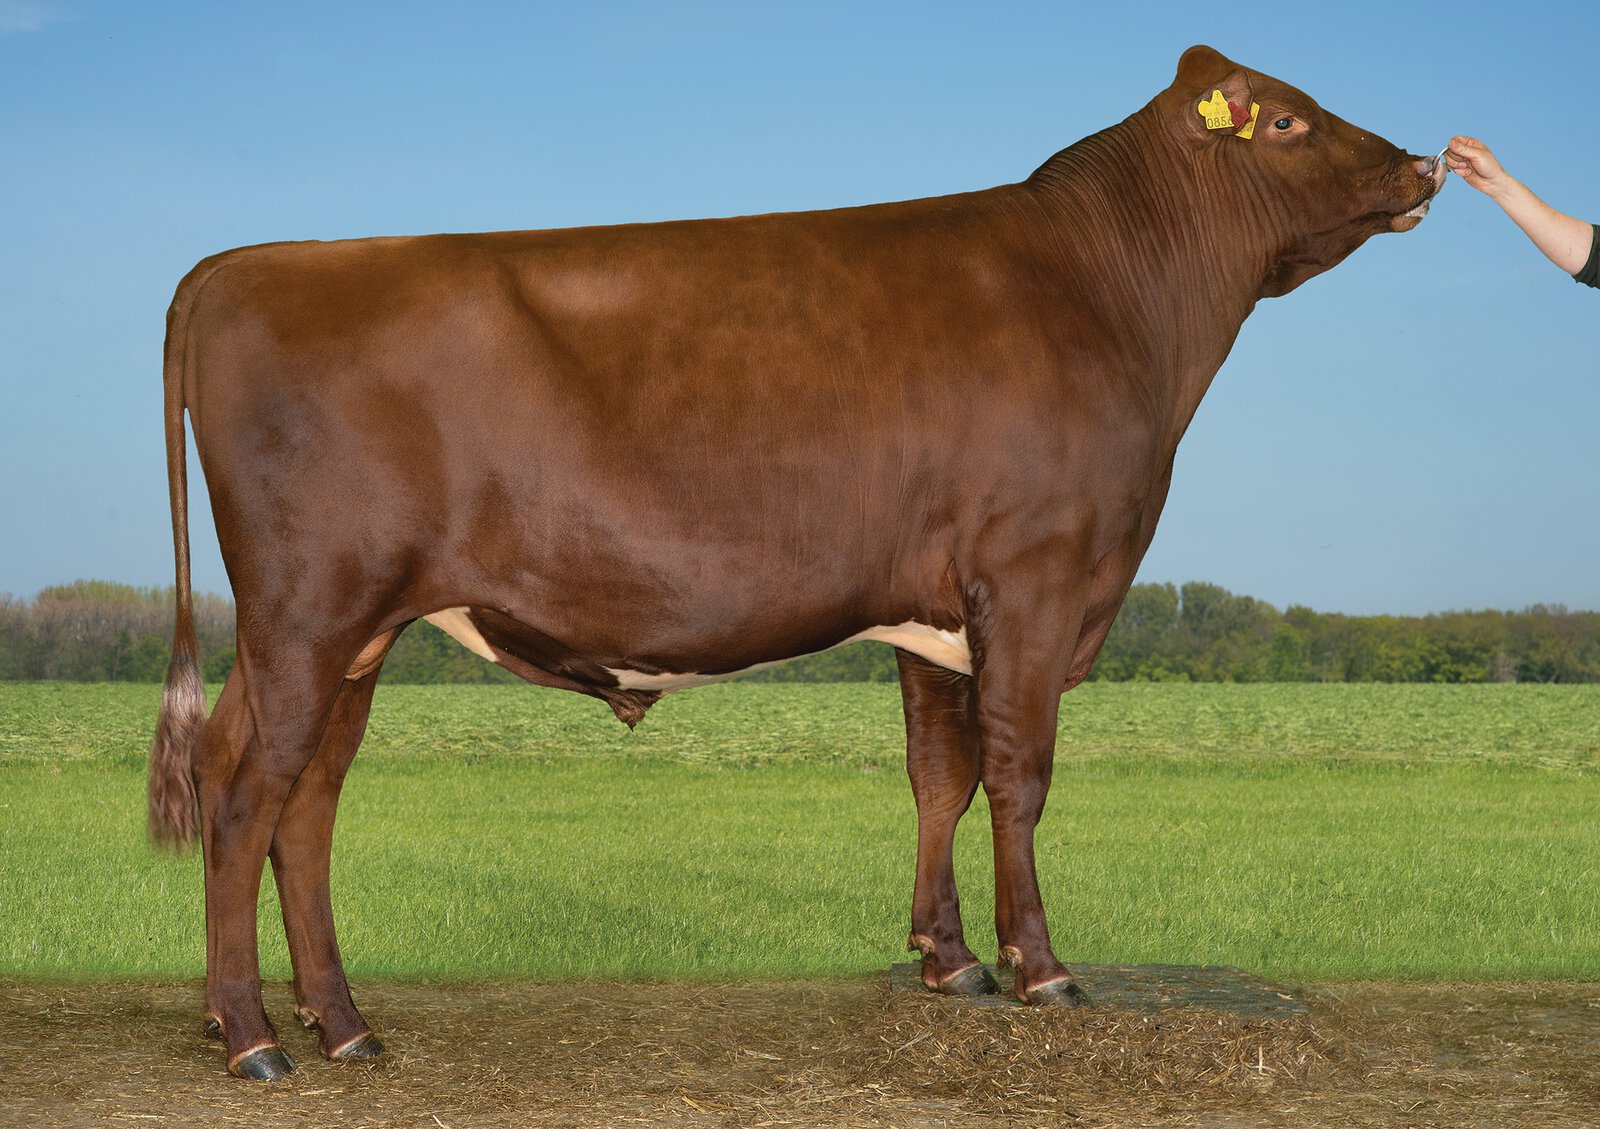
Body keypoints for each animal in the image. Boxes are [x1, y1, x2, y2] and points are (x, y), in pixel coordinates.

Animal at [148, 45, 1445, 1079]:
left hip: (348, 631)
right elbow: (1019, 774)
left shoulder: (938, 608)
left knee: (303, 801)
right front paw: (1042, 968)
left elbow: (940, 776)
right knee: (249, 794)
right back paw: (253, 1037)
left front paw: (946, 959)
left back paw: (340, 1024)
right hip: (310, 608)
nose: (1420, 165)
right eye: (1287, 120)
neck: (1114, 298)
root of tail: (242, 263)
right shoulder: (1035, 575)